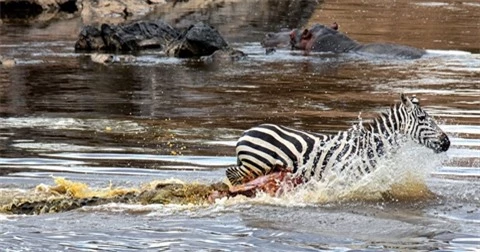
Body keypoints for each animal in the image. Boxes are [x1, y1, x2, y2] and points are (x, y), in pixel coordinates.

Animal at [225, 93, 450, 186]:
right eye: (422, 119)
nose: (447, 142)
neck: (370, 146)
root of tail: (245, 133)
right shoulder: (351, 176)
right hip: (255, 164)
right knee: (232, 174)